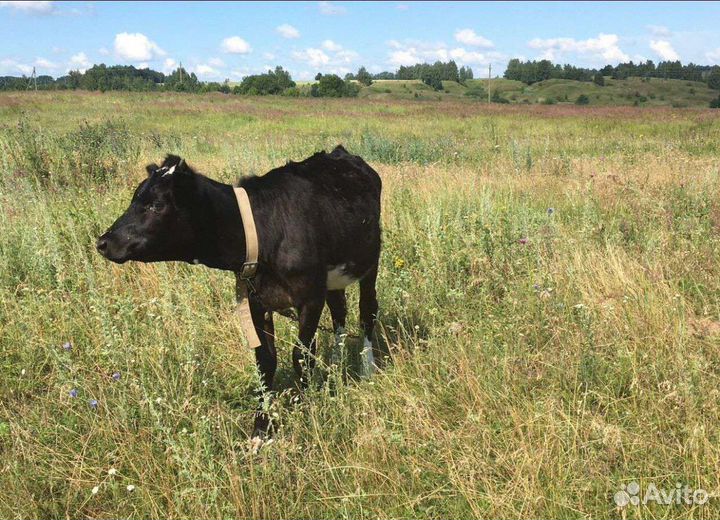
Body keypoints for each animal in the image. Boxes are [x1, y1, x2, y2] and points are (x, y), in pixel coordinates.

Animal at [96, 146, 382, 443]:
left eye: (155, 205)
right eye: (134, 198)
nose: (103, 242)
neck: (263, 230)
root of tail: (340, 153)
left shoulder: (310, 297)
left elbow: (301, 356)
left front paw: (304, 413)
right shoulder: (257, 301)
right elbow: (265, 362)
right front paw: (261, 429)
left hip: (370, 263)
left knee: (367, 312)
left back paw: (366, 369)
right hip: (334, 279)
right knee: (339, 312)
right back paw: (336, 365)